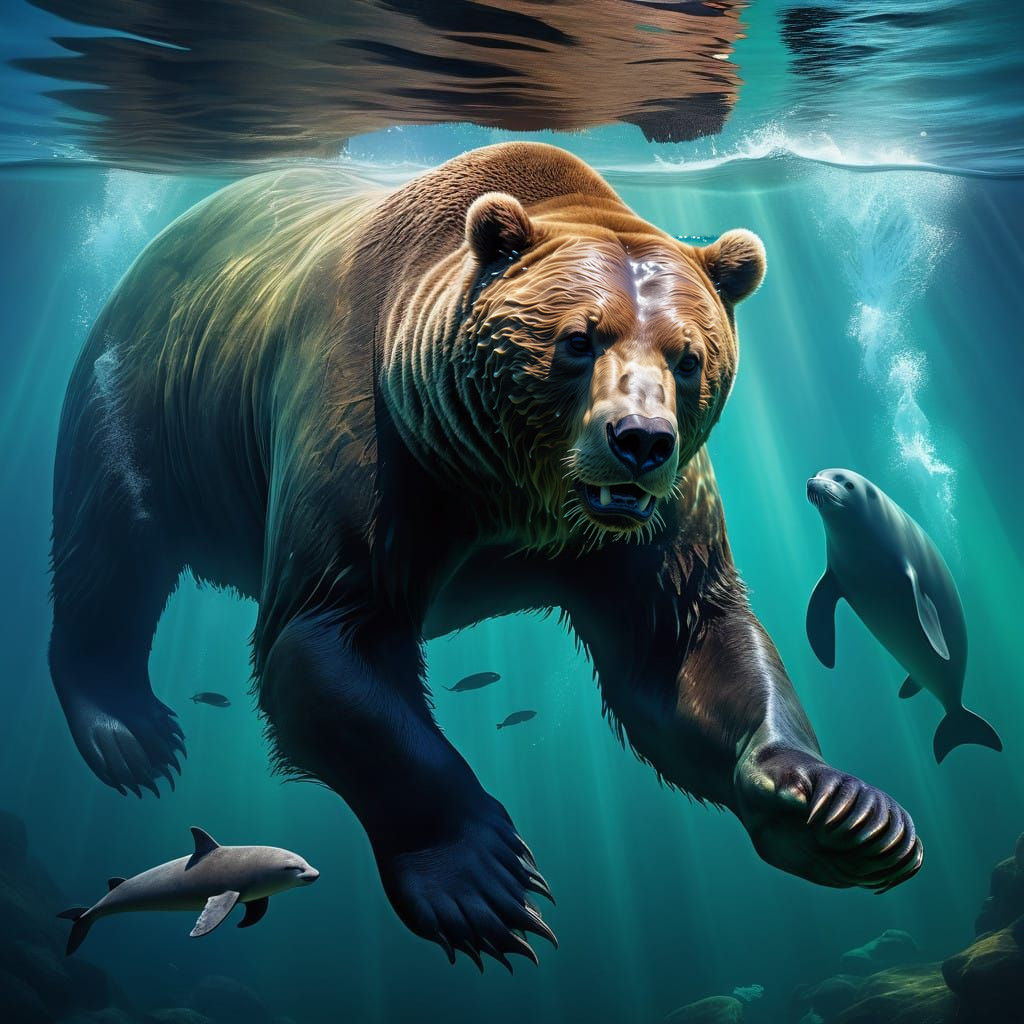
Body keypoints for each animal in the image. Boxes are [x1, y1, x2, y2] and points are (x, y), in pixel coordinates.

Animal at [49, 142, 923, 967]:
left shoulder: (654, 525)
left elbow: (688, 645)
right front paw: (484, 882)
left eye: (688, 357)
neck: (515, 493)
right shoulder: (378, 445)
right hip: (141, 397)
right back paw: (131, 735)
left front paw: (846, 812)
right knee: (108, 546)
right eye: (580, 339)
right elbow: (329, 643)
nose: (639, 441)